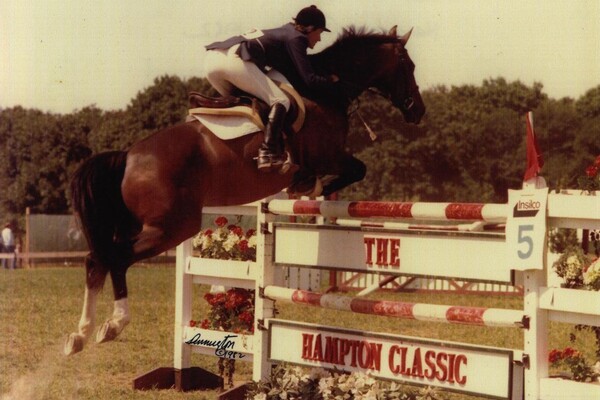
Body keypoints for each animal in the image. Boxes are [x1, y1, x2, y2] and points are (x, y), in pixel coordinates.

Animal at [63, 25, 424, 354]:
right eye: (408, 65)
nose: (417, 110)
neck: (327, 91)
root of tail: (128, 156)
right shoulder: (330, 154)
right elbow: (354, 170)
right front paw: (309, 185)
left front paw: (307, 188)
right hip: (171, 227)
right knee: (115, 258)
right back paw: (112, 325)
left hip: (142, 224)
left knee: (97, 260)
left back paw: (80, 335)